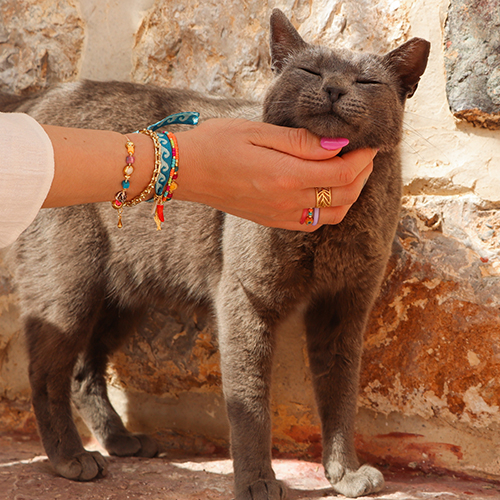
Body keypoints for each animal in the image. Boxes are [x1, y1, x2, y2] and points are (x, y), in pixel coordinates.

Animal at [4, 9, 429, 499]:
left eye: (366, 80)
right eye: (310, 71)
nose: (335, 88)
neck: (328, 217)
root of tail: (40, 103)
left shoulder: (345, 306)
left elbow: (340, 392)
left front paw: (345, 474)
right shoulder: (244, 296)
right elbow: (249, 404)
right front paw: (258, 482)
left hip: (121, 296)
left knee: (82, 372)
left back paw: (121, 441)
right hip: (67, 287)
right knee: (45, 373)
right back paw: (70, 459)